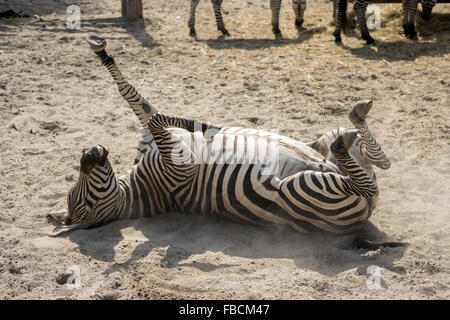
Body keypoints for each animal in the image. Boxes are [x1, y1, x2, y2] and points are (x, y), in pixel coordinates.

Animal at [47, 35, 406, 250]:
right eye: (85, 203)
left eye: (78, 194)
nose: (89, 153)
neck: (137, 186)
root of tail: (364, 219)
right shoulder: (179, 163)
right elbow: (153, 115)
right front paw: (207, 129)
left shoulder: (157, 141)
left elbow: (143, 105)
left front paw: (102, 53)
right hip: (305, 188)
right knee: (366, 182)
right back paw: (346, 141)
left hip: (327, 147)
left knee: (377, 161)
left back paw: (355, 120)